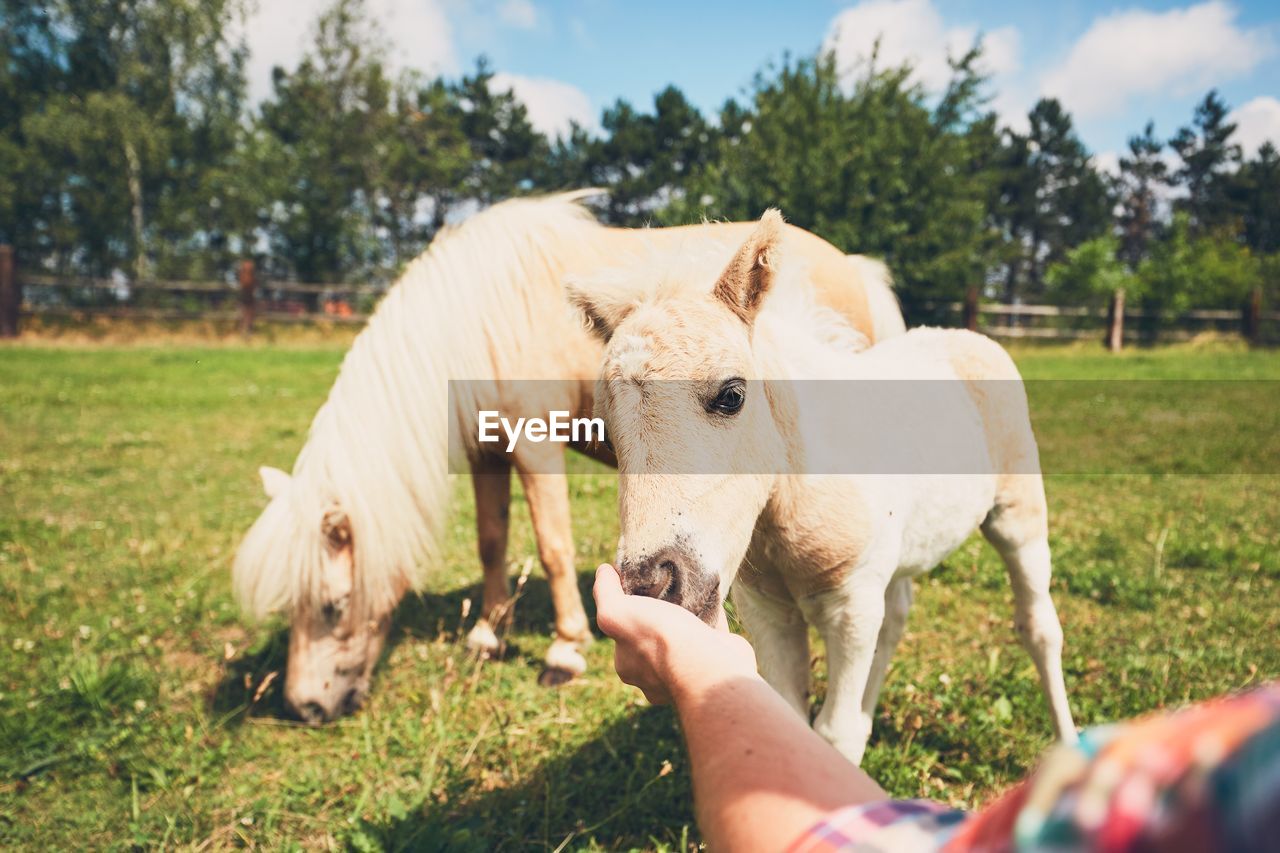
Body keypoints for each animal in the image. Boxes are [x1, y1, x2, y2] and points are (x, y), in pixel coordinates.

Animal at [232, 190, 911, 717]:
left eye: (332, 606)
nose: (305, 707)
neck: (481, 317)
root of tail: (852, 265)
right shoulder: (486, 450)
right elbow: (491, 539)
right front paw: (489, 634)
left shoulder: (534, 444)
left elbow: (552, 545)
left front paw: (565, 650)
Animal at [565, 211, 1075, 758]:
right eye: (606, 433)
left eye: (731, 395)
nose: (653, 586)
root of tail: (966, 336)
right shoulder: (768, 611)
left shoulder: (851, 605)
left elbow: (835, 731)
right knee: (897, 618)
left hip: (1017, 515)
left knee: (1039, 627)